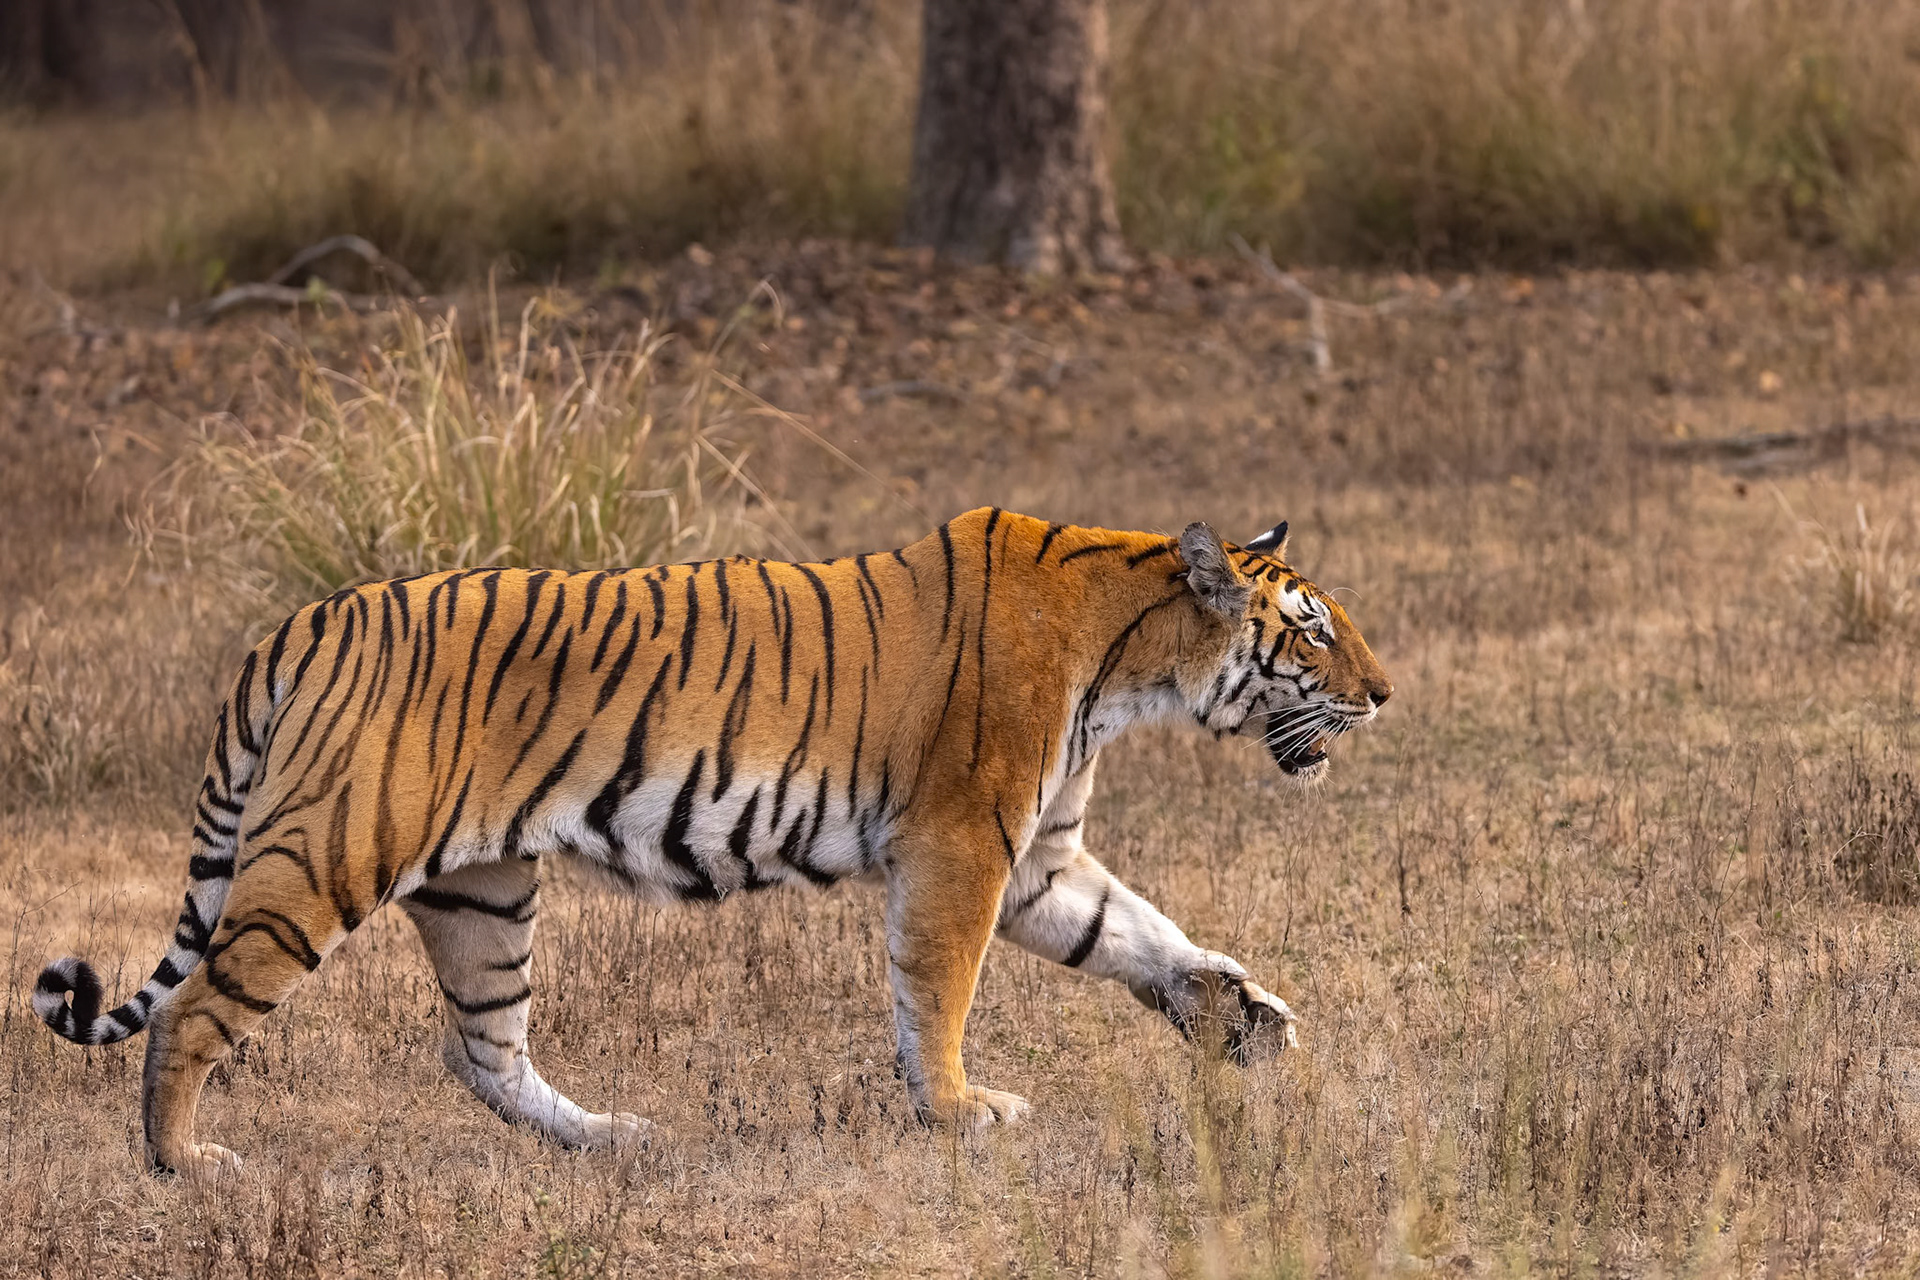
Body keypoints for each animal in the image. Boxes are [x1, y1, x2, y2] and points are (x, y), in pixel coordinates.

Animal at [32, 508, 1391, 1175]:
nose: (1385, 694)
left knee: (482, 1048)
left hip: (484, 890)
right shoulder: (965, 846)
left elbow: (1142, 931)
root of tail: (299, 622)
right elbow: (938, 992)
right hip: (318, 863)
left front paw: (1243, 1015)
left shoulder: (1041, 859)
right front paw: (959, 1111)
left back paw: (609, 1139)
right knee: (191, 1009)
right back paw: (185, 1162)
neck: (1131, 659)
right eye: (1313, 629)